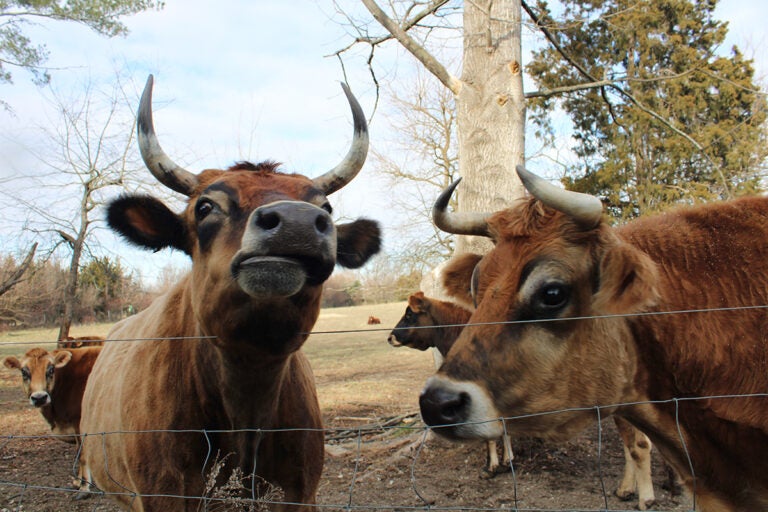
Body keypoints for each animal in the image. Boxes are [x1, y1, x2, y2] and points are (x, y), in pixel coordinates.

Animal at [392, 290, 656, 506]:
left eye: (409, 315)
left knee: (639, 444)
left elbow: (490, 438)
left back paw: (644, 497)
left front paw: (492, 467)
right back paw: (628, 489)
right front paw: (507, 460)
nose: (390, 336)